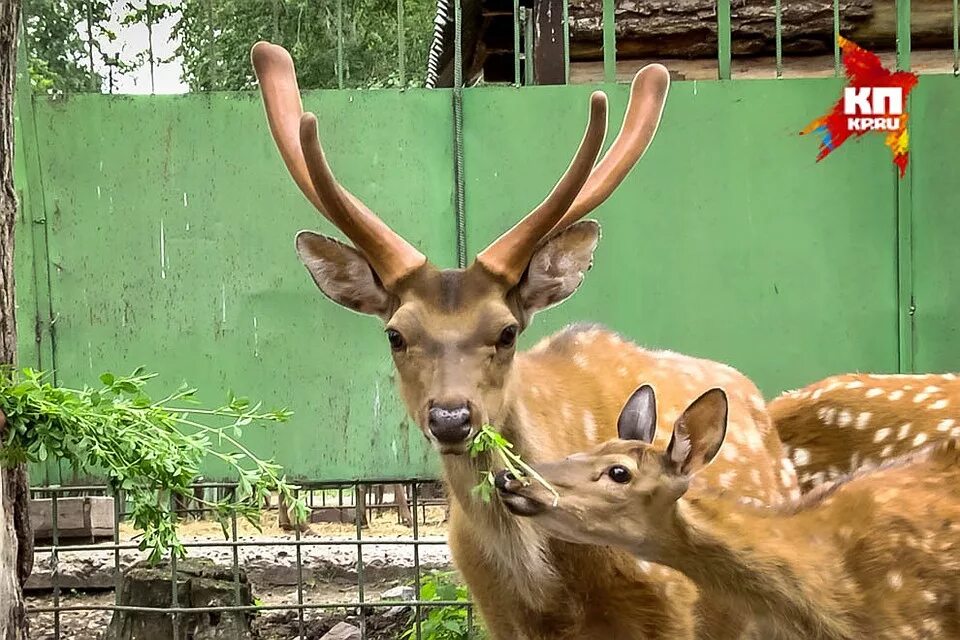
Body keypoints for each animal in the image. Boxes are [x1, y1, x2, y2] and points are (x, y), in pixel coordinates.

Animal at [249, 42, 804, 636]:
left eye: (507, 331)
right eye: (396, 334)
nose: (452, 418)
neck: (545, 582)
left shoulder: (672, 605)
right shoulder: (495, 608)